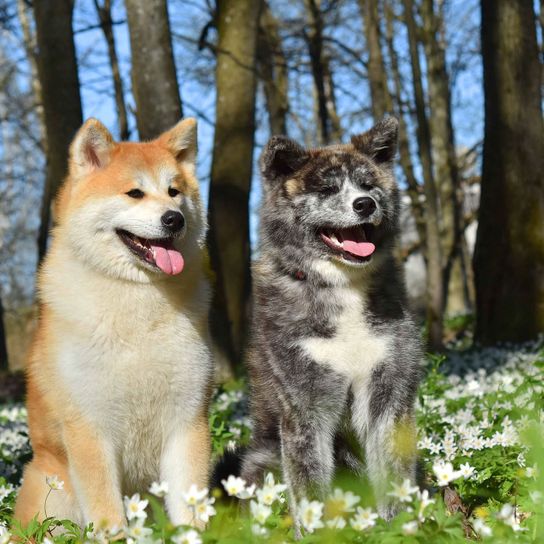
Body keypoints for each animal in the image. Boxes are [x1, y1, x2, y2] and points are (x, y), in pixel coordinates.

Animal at [14, 117, 215, 528]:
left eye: (174, 192)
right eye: (134, 193)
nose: (174, 218)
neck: (137, 301)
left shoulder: (187, 418)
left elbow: (189, 504)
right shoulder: (89, 426)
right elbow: (107, 513)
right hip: (50, 492)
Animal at [240, 116, 422, 536]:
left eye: (368, 184)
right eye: (326, 189)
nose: (365, 204)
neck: (342, 286)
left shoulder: (388, 392)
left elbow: (393, 472)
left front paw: (399, 527)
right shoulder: (305, 406)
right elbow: (309, 485)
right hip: (261, 462)